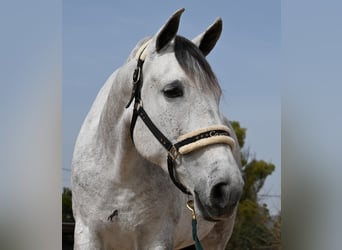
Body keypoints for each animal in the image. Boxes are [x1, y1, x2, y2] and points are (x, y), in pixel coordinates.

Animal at [71, 8, 243, 250]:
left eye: (217, 95)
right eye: (172, 91)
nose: (227, 188)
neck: (117, 175)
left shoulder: (157, 237)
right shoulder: (87, 233)